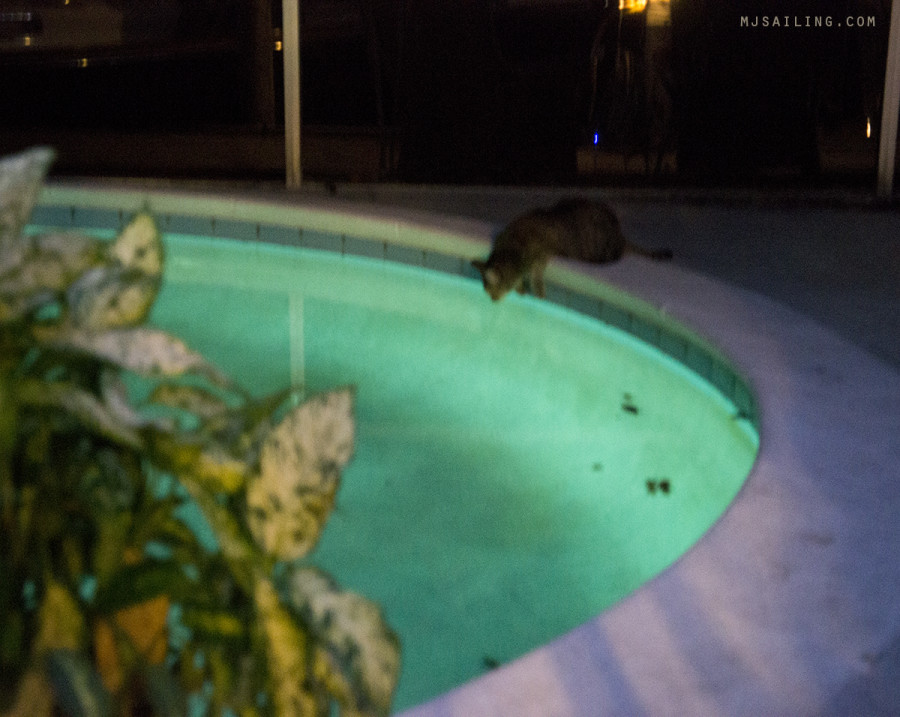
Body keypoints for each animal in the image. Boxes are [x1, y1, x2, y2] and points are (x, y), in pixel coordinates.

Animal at [474, 196, 672, 300]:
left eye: (490, 292)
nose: (492, 300)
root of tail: (621, 236)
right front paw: (521, 287)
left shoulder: (540, 258)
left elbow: (536, 280)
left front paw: (536, 294)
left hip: (602, 251)